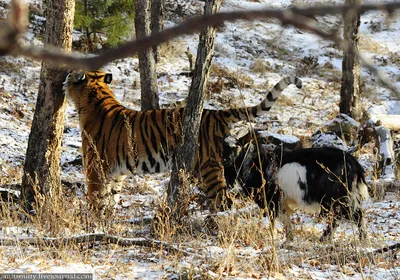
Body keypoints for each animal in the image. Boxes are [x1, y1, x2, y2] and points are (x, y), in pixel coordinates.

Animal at [62, 69, 302, 214]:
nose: (63, 77)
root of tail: (214, 113)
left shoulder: (95, 167)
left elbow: (95, 197)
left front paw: (92, 222)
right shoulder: (117, 173)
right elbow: (110, 199)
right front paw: (106, 220)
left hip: (207, 167)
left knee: (224, 200)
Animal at [222, 134, 368, 241]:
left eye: (237, 147)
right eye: (222, 147)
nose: (225, 160)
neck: (254, 163)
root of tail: (353, 163)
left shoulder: (271, 200)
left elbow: (276, 220)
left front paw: (277, 238)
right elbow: (284, 219)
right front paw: (288, 239)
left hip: (337, 197)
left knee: (349, 215)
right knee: (350, 215)